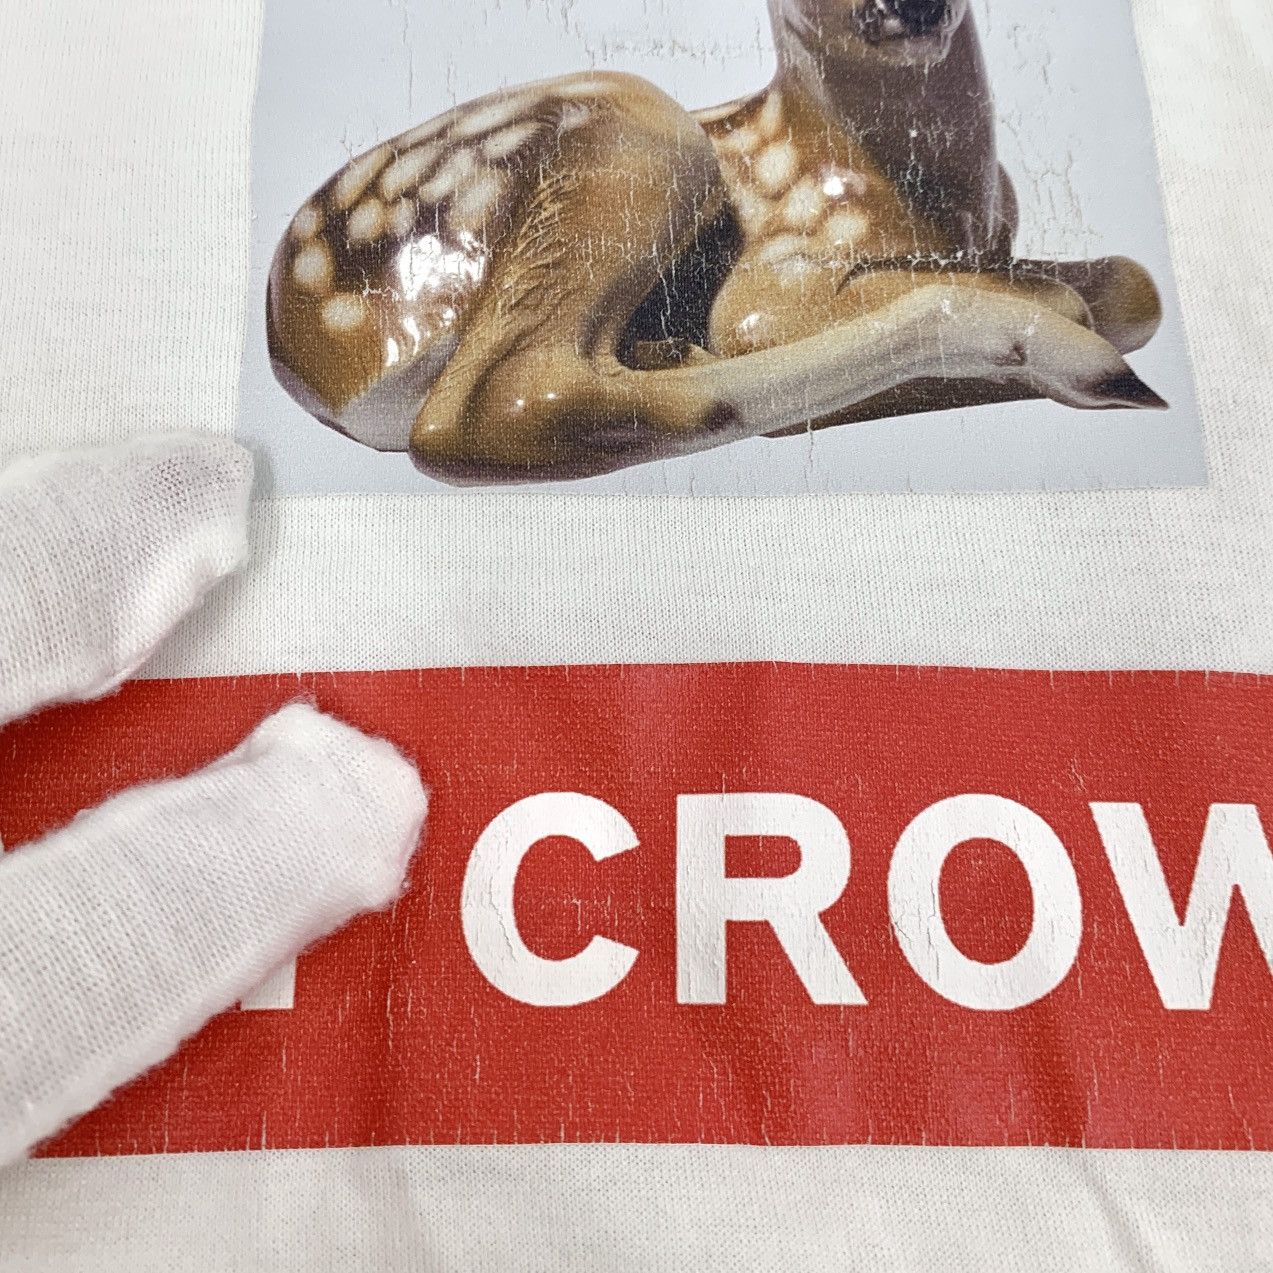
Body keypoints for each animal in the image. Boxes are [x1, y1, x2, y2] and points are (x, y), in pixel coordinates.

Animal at [267, 0, 1167, 485]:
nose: (903, 6)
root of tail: (307, 362)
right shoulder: (771, 281)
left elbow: (1133, 283)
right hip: (637, 131)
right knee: (500, 404)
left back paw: (659, 347)